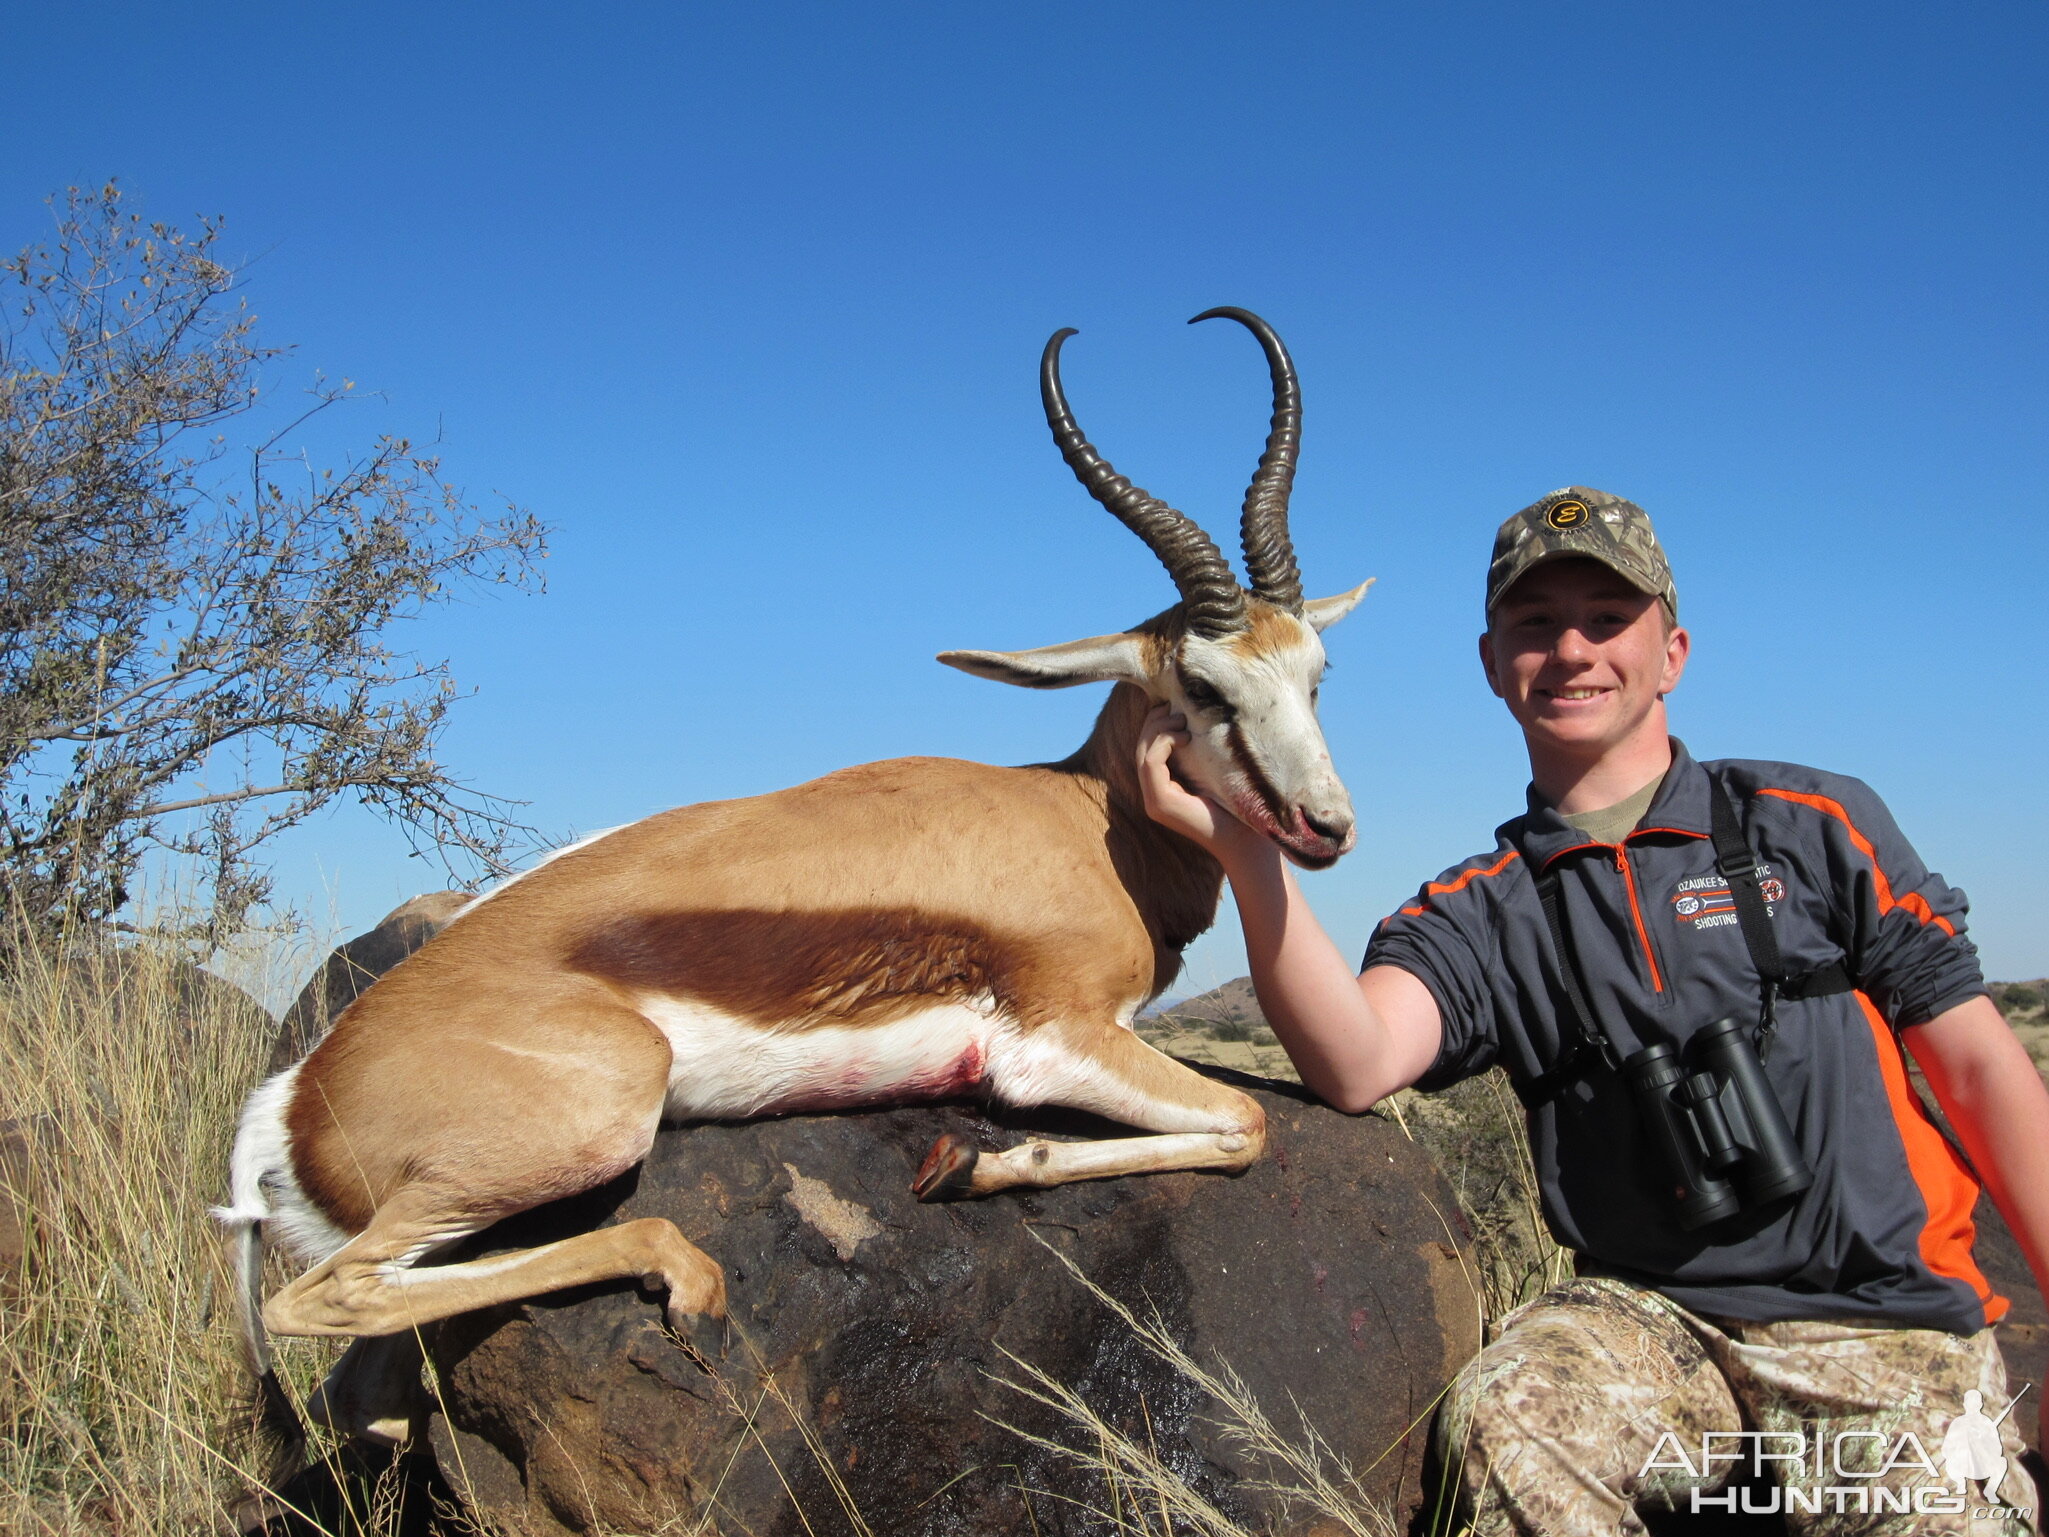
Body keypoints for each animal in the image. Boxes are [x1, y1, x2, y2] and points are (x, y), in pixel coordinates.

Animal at [216, 307, 1368, 1450]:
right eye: (1204, 687)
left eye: (1317, 674)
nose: (1328, 827)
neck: (1090, 821)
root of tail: (292, 1101)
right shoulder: (1053, 1042)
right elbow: (1245, 1121)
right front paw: (971, 1165)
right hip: (602, 1114)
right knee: (326, 1294)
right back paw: (688, 1275)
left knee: (366, 1384)